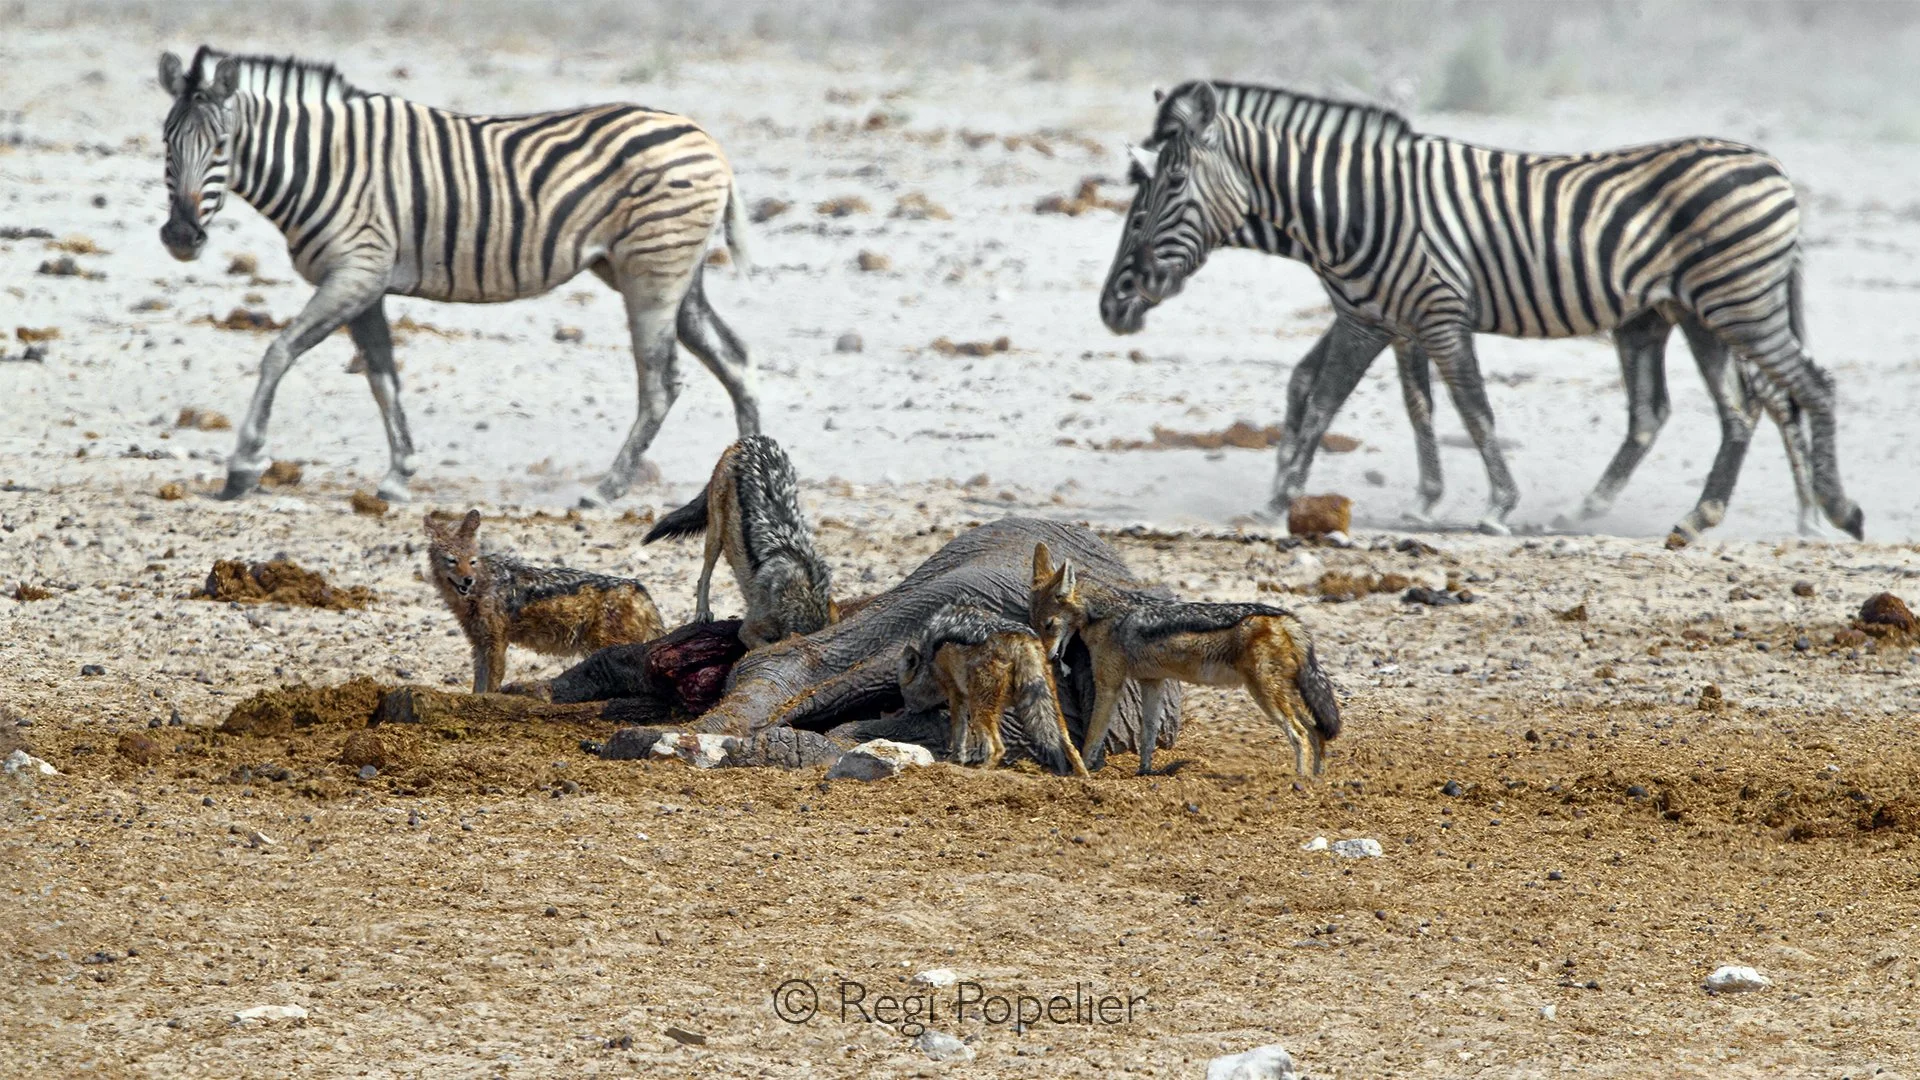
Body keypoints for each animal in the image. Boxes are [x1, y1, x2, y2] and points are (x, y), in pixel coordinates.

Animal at [158, 46, 759, 506]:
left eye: (221, 146)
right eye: (166, 144)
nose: (181, 237)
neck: (320, 164)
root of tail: (707, 140)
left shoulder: (356, 270)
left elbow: (278, 353)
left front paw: (243, 465)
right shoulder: (366, 284)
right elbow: (383, 377)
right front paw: (399, 475)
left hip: (652, 270)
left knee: (661, 383)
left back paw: (605, 490)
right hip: (667, 271)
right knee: (733, 358)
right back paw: (754, 475)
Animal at [1099, 80, 1861, 543]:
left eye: (1168, 184)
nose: (1112, 306)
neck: (1352, 208)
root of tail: (1771, 163)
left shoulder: (1430, 313)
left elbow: (1466, 408)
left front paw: (1493, 507)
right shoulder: (1374, 320)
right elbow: (1342, 401)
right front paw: (1286, 497)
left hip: (1740, 305)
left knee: (1803, 388)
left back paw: (1832, 511)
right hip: (1695, 314)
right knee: (1724, 411)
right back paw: (1680, 515)